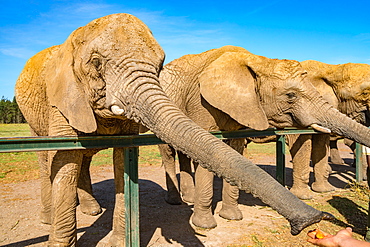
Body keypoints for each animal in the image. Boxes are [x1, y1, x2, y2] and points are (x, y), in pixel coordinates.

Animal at [13, 14, 336, 246]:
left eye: (159, 65)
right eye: (95, 63)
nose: (311, 222)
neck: (257, 59)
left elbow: (123, 161)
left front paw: (228, 220)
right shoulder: (60, 98)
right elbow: (64, 161)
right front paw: (206, 226)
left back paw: (98, 210)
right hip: (33, 116)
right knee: (50, 159)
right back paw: (52, 218)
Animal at [157, 44, 370, 230]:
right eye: (290, 95)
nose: (325, 218)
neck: (260, 60)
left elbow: (235, 151)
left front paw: (232, 217)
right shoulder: (200, 101)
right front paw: (205, 225)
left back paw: (188, 198)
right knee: (168, 152)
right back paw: (176, 201)